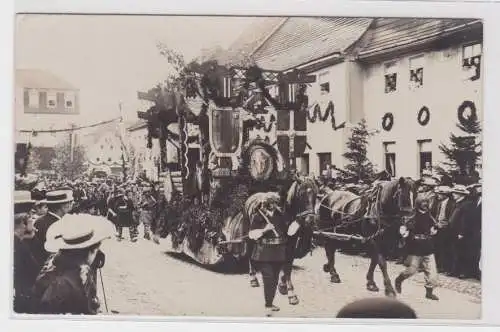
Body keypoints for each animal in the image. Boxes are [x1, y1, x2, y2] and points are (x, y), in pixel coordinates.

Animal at [247, 176, 320, 306]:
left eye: (316, 194)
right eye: (301, 194)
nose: (310, 220)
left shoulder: (291, 244)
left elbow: (287, 264)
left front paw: (282, 286)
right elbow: (286, 267)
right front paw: (292, 294)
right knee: (250, 253)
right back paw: (253, 278)